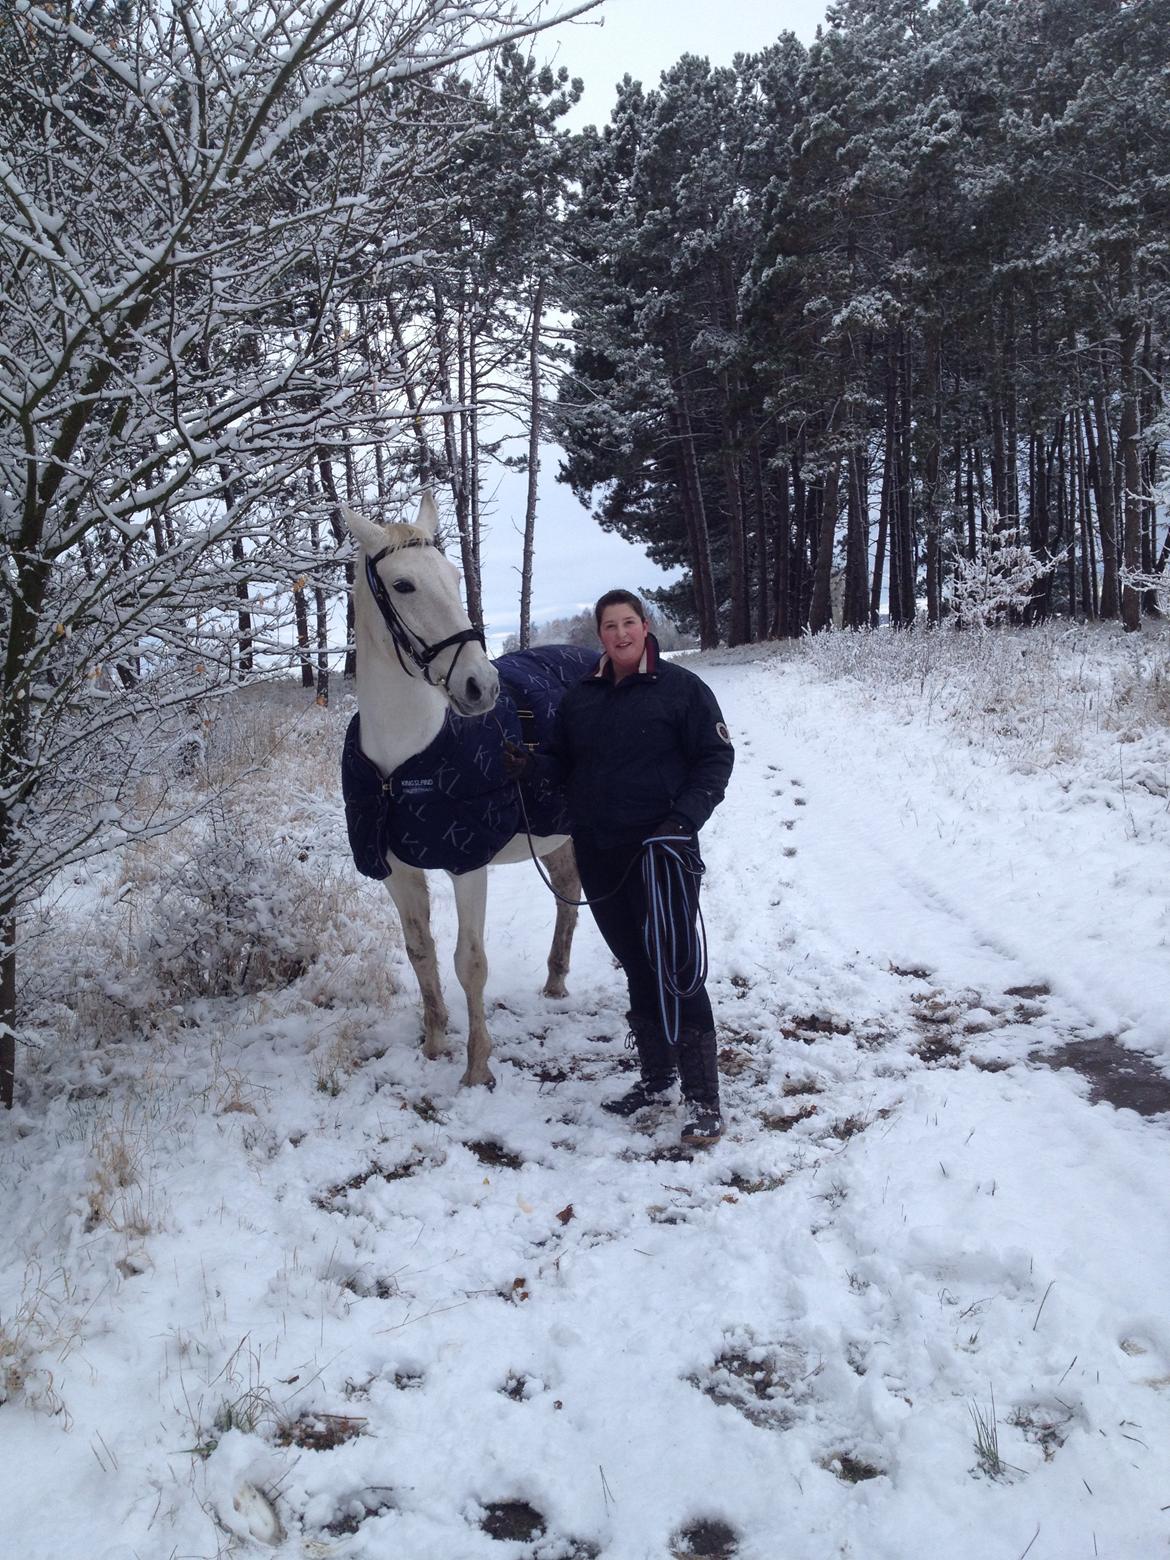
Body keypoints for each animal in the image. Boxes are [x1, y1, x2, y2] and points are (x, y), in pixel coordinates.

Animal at [343, 496, 583, 1085]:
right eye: (403, 584)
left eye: (454, 577)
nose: (481, 686)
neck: (402, 769)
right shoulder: (396, 871)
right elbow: (421, 952)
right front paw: (433, 1046)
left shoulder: (467, 865)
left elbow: (469, 962)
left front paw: (477, 1070)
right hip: (556, 832)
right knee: (567, 893)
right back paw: (555, 982)